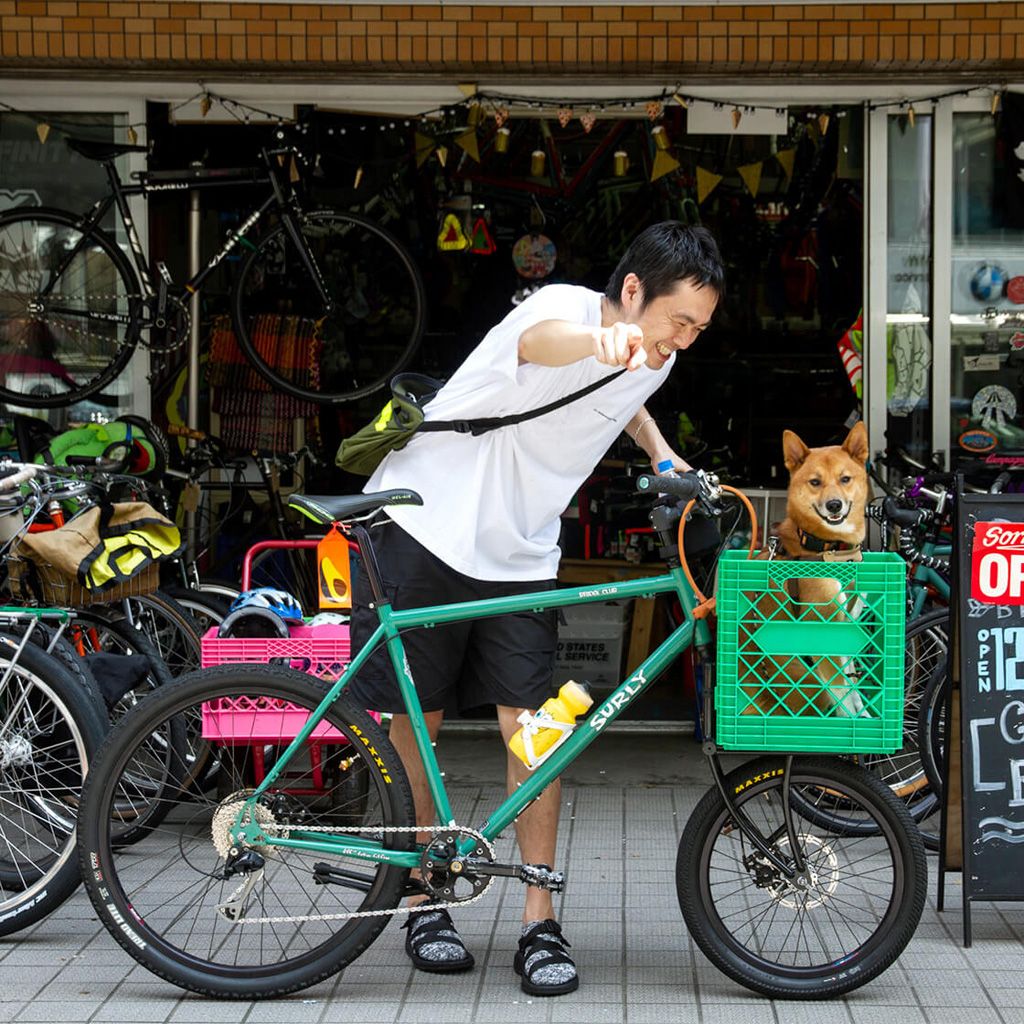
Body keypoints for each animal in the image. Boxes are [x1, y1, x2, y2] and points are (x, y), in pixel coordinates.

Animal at [745, 423, 872, 720]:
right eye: (815, 482)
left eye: (845, 479)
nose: (834, 505)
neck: (830, 547)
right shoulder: (822, 632)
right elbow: (843, 695)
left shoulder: (846, 624)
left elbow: (851, 685)